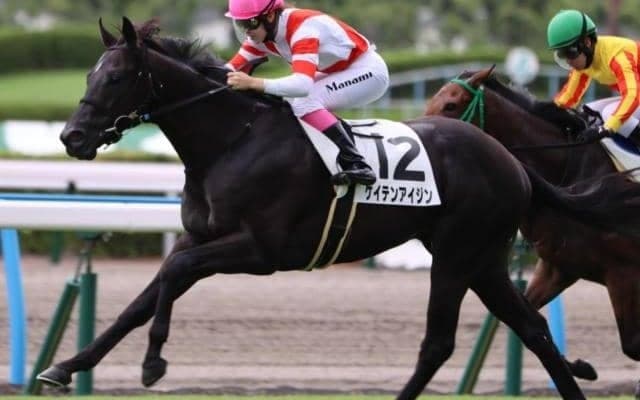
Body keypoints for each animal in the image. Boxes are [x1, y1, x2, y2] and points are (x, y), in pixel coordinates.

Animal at [425, 66, 640, 386]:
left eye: (451, 105)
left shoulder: (624, 272)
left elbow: (632, 345)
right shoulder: (559, 267)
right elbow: (528, 321)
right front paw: (581, 367)